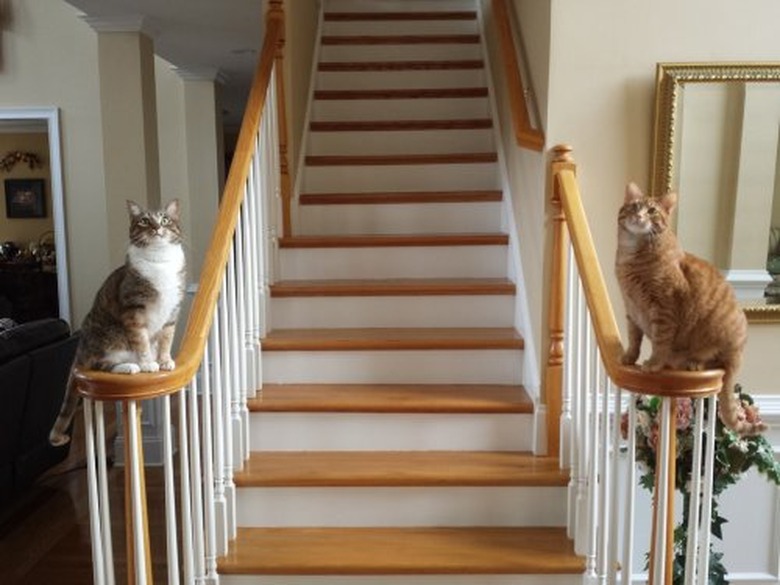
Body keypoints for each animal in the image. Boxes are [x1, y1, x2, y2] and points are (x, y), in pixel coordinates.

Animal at [50, 198, 187, 444]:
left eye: (164, 219)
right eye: (144, 221)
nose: (156, 228)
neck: (160, 263)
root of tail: (81, 346)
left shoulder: (173, 311)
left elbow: (166, 339)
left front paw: (165, 361)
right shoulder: (133, 311)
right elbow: (141, 341)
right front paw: (148, 364)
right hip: (111, 337)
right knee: (99, 364)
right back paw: (130, 366)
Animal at [616, 182, 760, 434]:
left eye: (652, 211)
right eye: (634, 206)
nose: (639, 216)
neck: (631, 258)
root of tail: (740, 350)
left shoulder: (663, 310)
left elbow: (660, 343)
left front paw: (653, 364)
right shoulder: (631, 310)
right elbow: (634, 339)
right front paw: (630, 357)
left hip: (719, 343)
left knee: (718, 364)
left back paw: (695, 362)